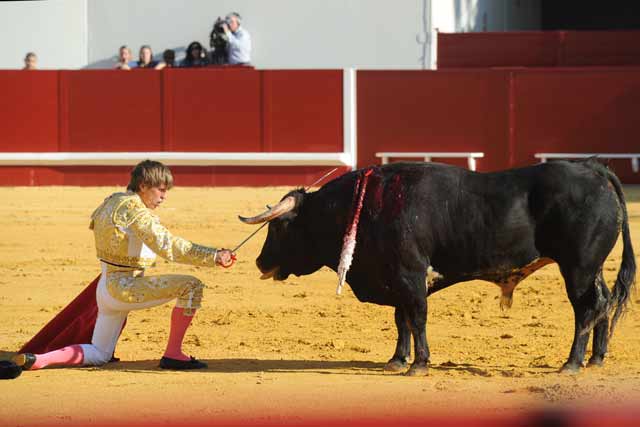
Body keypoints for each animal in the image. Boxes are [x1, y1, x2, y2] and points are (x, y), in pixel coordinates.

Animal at [239, 160, 636, 378]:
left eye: (279, 228)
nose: (259, 261)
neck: (366, 206)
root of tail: (593, 168)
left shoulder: (410, 276)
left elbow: (416, 318)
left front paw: (419, 363)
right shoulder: (395, 279)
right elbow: (401, 320)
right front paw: (397, 360)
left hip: (578, 267)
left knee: (587, 308)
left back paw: (572, 363)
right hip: (591, 268)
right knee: (603, 303)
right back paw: (596, 359)